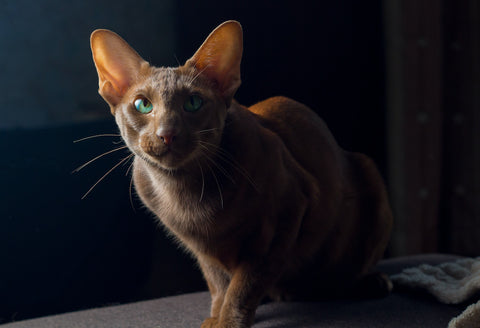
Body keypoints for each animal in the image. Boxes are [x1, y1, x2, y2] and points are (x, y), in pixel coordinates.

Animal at [90, 20, 394, 328]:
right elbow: (218, 282)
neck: (185, 193)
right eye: (143, 105)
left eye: (193, 103)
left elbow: (245, 283)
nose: (167, 133)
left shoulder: (286, 215)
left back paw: (371, 283)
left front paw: (228, 321)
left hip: (370, 177)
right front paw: (216, 316)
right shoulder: (202, 249)